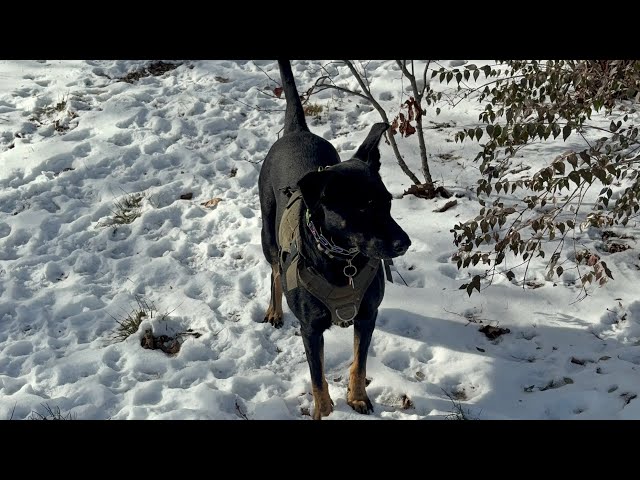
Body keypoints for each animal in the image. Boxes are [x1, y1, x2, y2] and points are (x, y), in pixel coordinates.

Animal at [258, 61, 412, 420]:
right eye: (362, 209)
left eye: (387, 202)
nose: (404, 243)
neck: (343, 260)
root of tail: (296, 131)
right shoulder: (311, 329)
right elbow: (317, 376)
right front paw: (324, 410)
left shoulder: (367, 315)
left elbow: (359, 362)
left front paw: (357, 398)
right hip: (267, 233)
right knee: (275, 270)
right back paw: (274, 310)